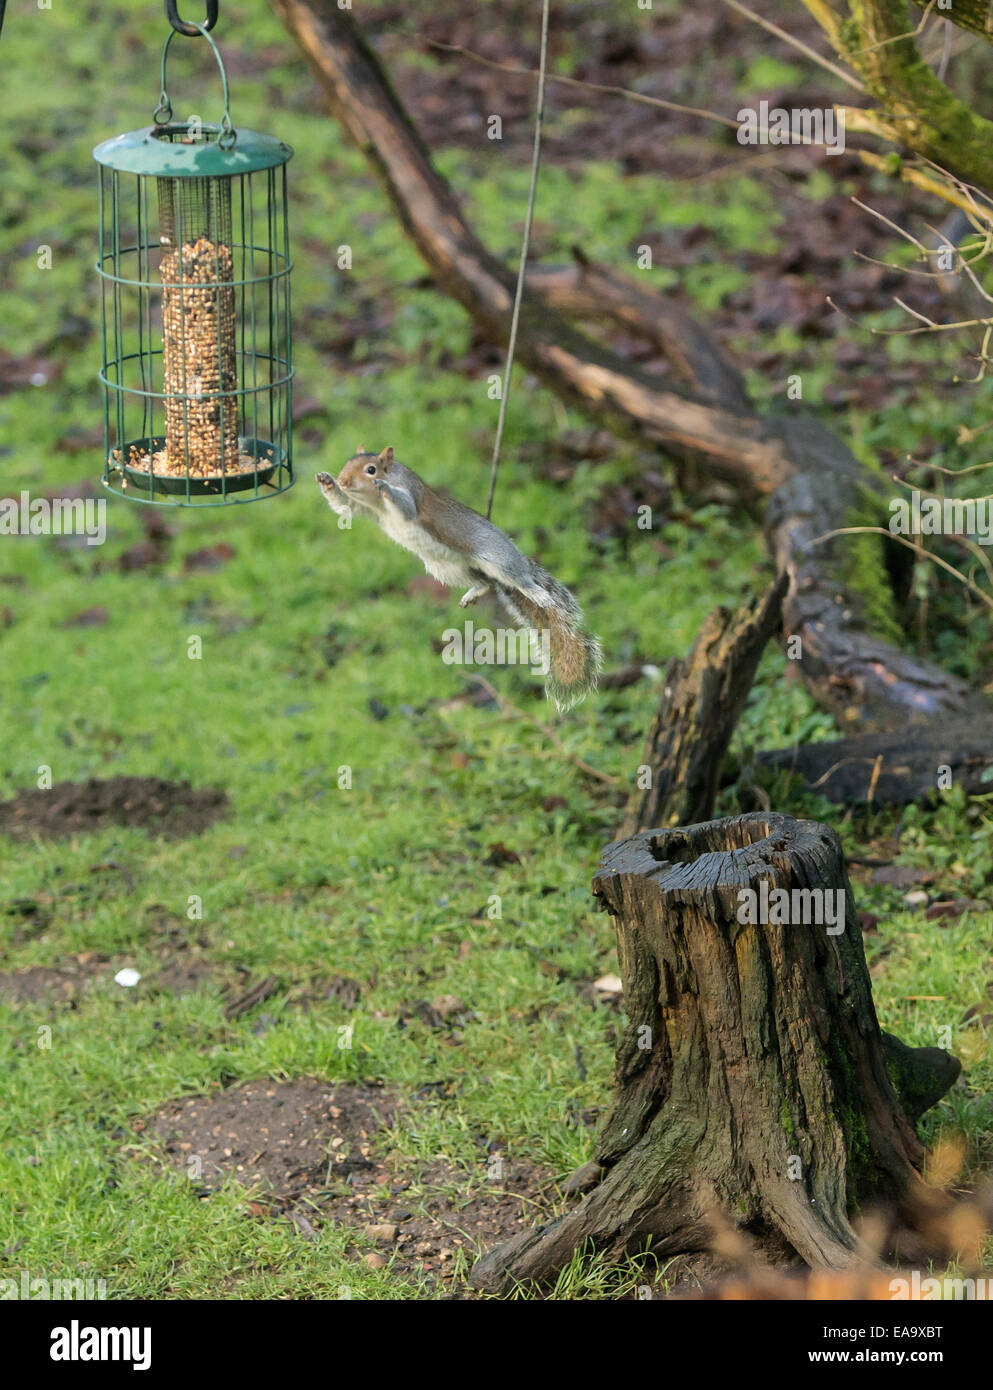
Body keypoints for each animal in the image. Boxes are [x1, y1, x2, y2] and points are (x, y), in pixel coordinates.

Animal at [316, 447, 602, 711]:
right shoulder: (363, 508)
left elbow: (405, 507)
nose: (343, 480)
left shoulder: (412, 496)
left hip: (497, 557)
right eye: (347, 463)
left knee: (517, 578)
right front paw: (327, 482)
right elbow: (346, 506)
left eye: (371, 469)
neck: (376, 501)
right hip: (447, 569)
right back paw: (474, 592)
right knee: (487, 583)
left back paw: (535, 592)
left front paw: (384, 486)